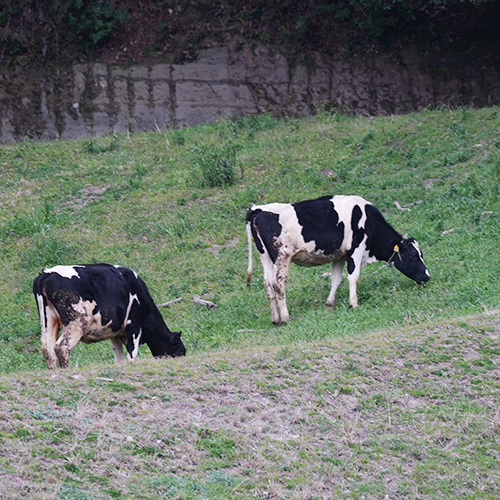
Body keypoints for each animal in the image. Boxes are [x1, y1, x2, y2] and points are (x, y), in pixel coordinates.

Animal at [33, 264, 187, 370]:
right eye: (180, 351)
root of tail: (46, 274)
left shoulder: (115, 332)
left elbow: (119, 358)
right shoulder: (134, 324)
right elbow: (132, 354)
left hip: (48, 322)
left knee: (48, 349)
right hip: (76, 322)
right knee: (62, 347)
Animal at [246, 195, 430, 324]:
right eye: (413, 256)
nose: (427, 276)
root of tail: (257, 209)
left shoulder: (340, 254)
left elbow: (336, 279)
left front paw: (330, 304)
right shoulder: (356, 247)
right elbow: (353, 276)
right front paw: (354, 304)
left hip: (265, 256)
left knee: (268, 284)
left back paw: (275, 319)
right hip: (282, 254)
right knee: (278, 283)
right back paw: (285, 317)